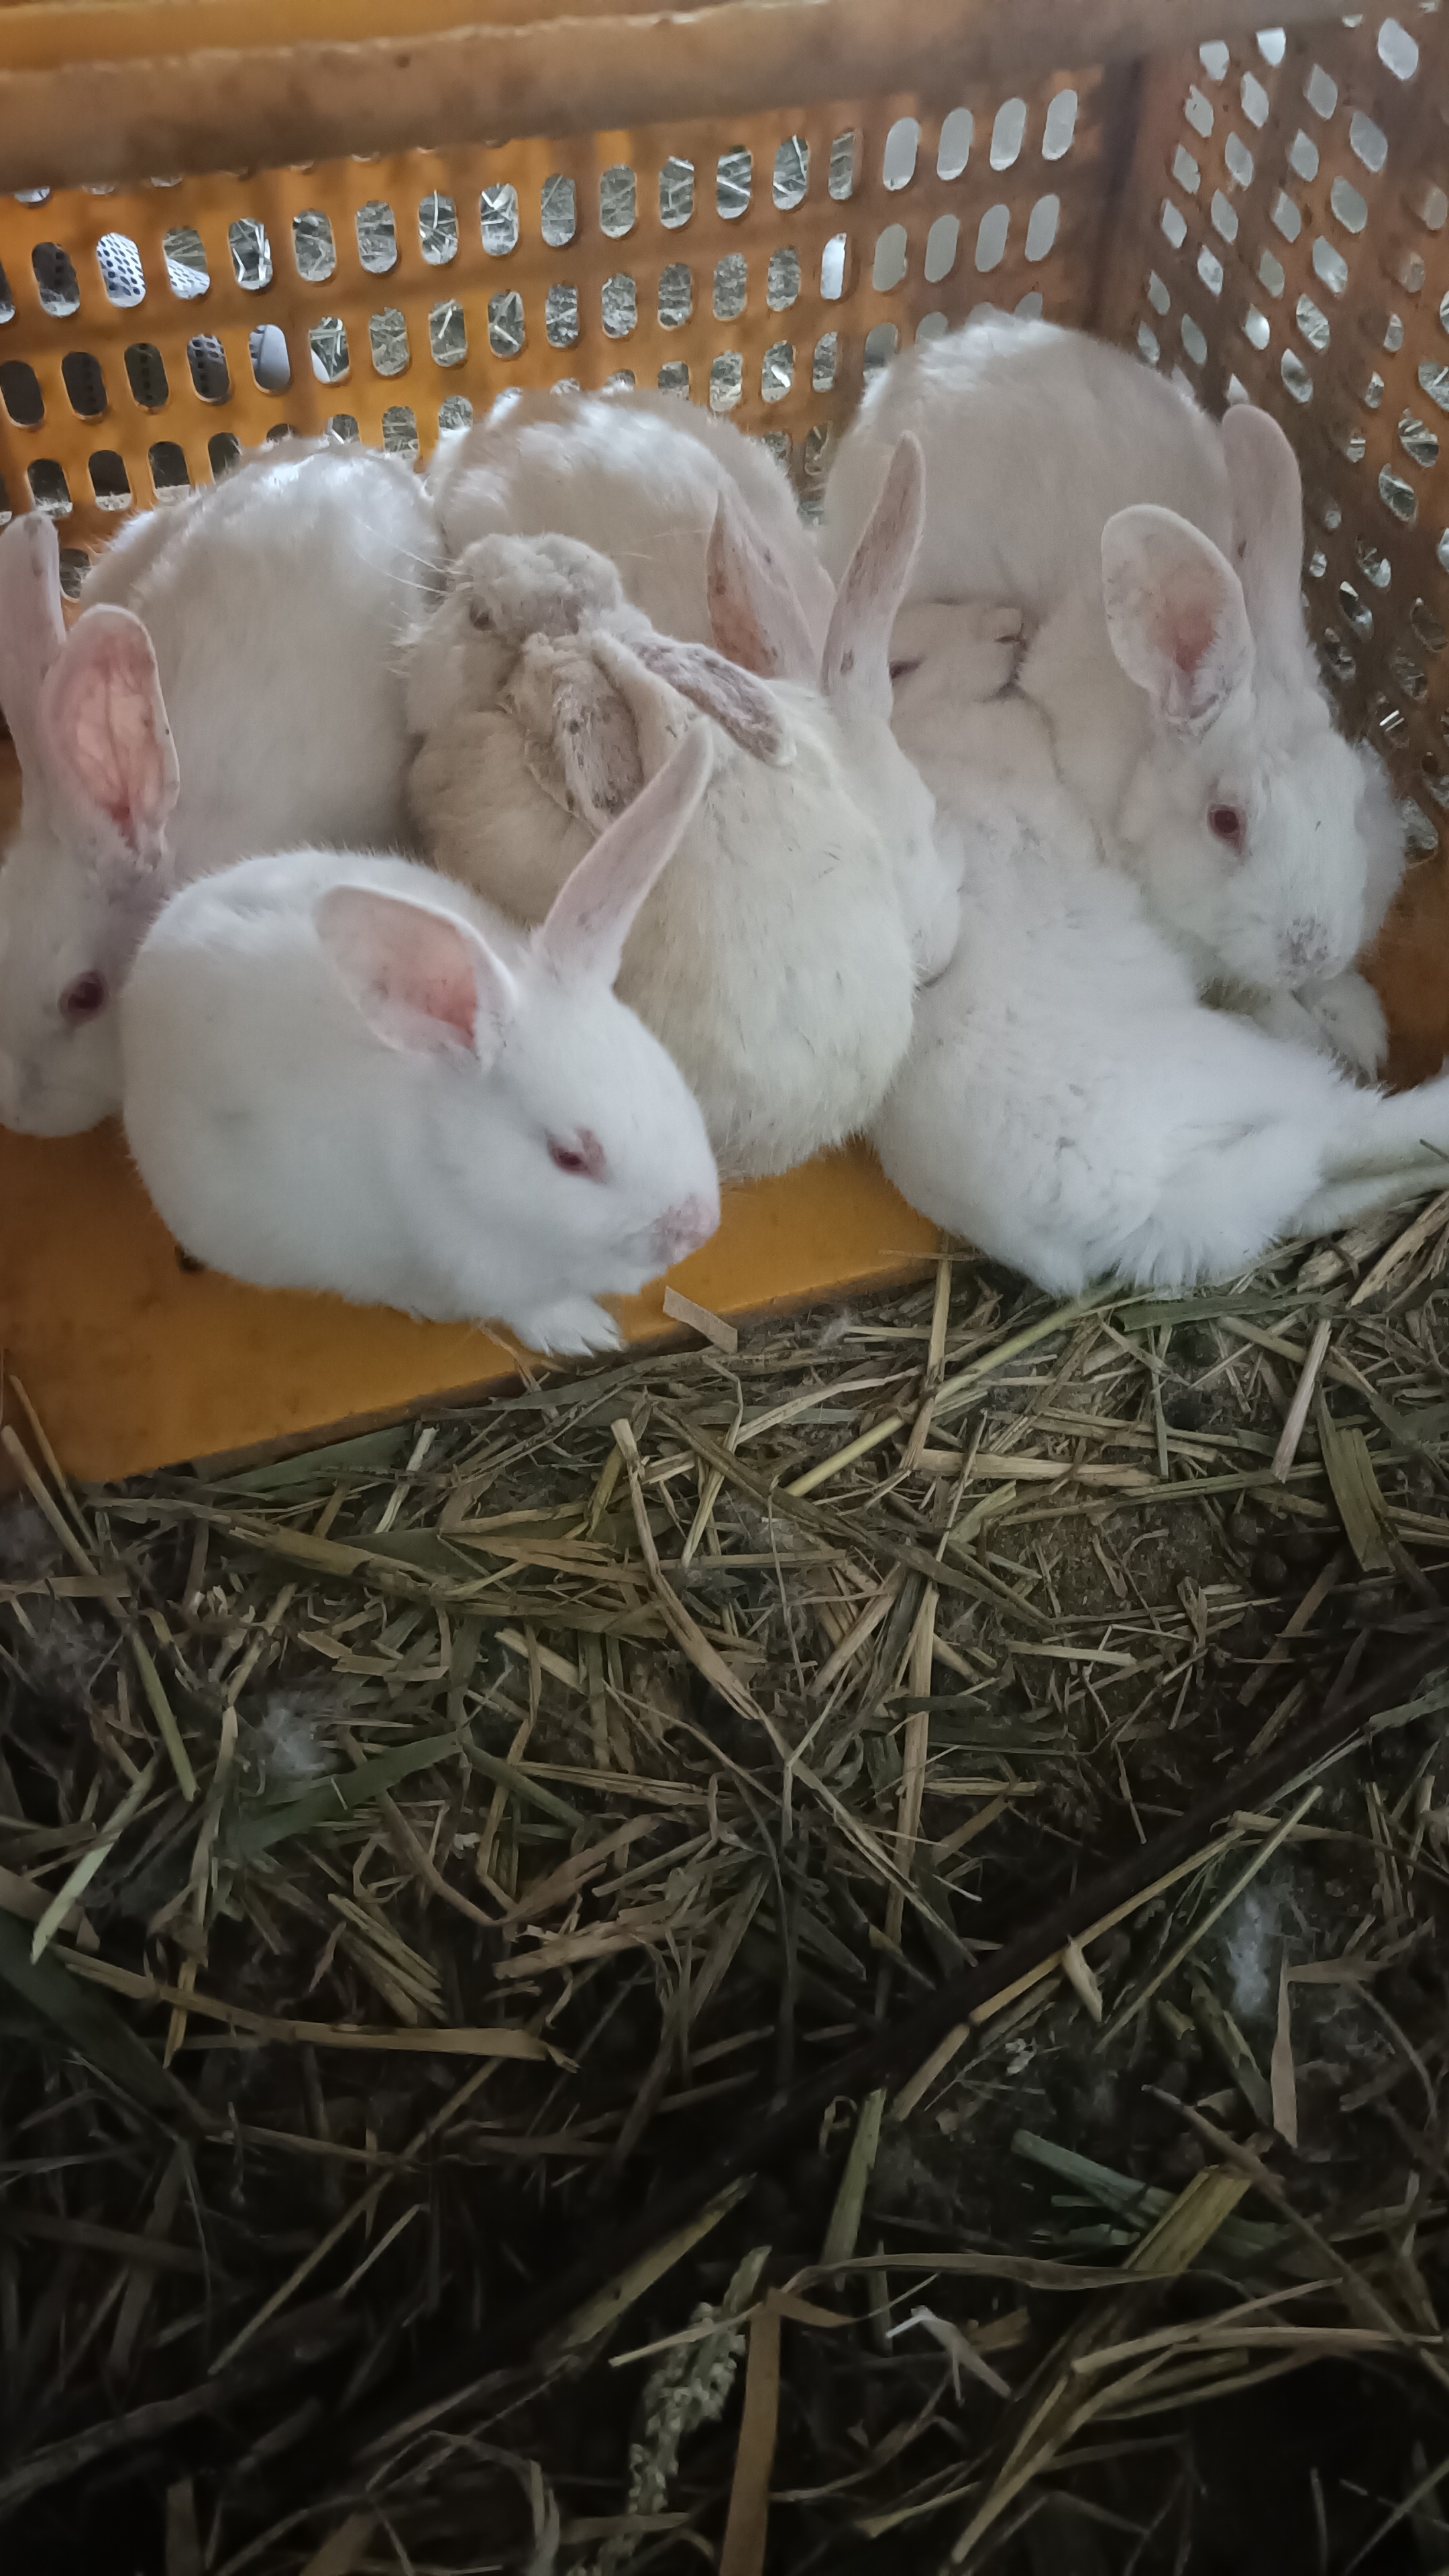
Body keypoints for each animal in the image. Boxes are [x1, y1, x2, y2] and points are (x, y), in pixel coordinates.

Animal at [120, 730, 721, 1356]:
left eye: (668, 1074)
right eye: (570, 1157)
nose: (698, 1227)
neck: (459, 1165)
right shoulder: (489, 1277)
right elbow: (534, 1309)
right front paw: (587, 1333)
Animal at [823, 313, 1404, 1076]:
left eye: (1351, 799)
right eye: (1226, 821)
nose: (1313, 951)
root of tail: (904, 371)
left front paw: (1352, 1018)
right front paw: (1311, 1022)